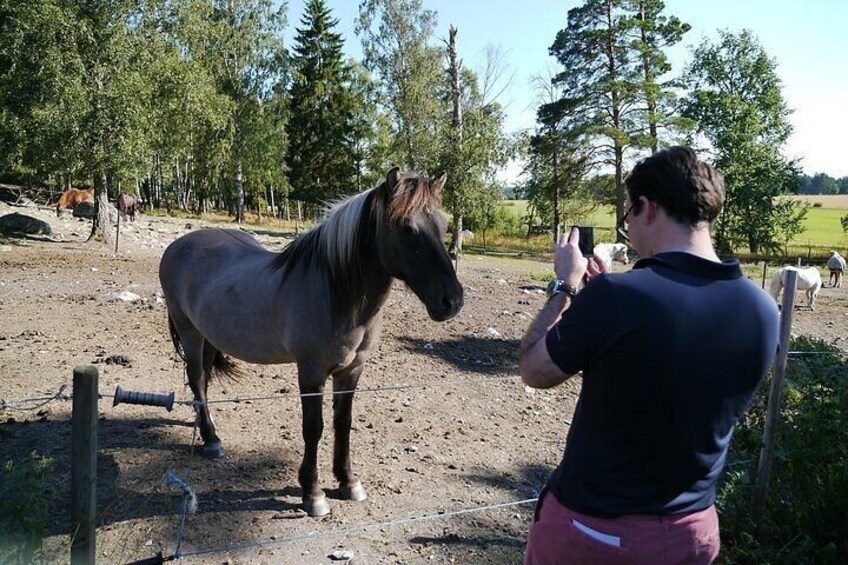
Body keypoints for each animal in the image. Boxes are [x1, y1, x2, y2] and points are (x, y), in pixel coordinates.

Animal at [159, 166, 464, 516]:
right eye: (406, 228)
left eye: (443, 226)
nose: (452, 301)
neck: (335, 292)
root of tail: (178, 245)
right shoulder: (311, 371)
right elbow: (313, 427)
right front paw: (313, 493)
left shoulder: (351, 371)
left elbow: (342, 423)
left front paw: (348, 482)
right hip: (190, 332)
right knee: (196, 377)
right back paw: (211, 440)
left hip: (209, 334)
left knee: (203, 381)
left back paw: (204, 428)